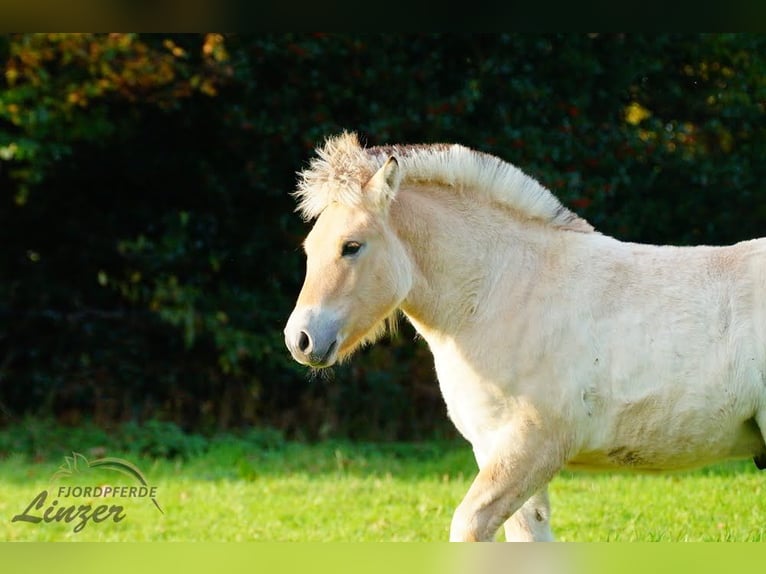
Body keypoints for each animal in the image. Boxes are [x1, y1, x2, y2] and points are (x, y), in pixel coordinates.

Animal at [283, 131, 766, 542]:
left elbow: (470, 525)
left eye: (351, 246)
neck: (501, 291)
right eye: (309, 248)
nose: (300, 340)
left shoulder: (534, 447)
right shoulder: (496, 449)